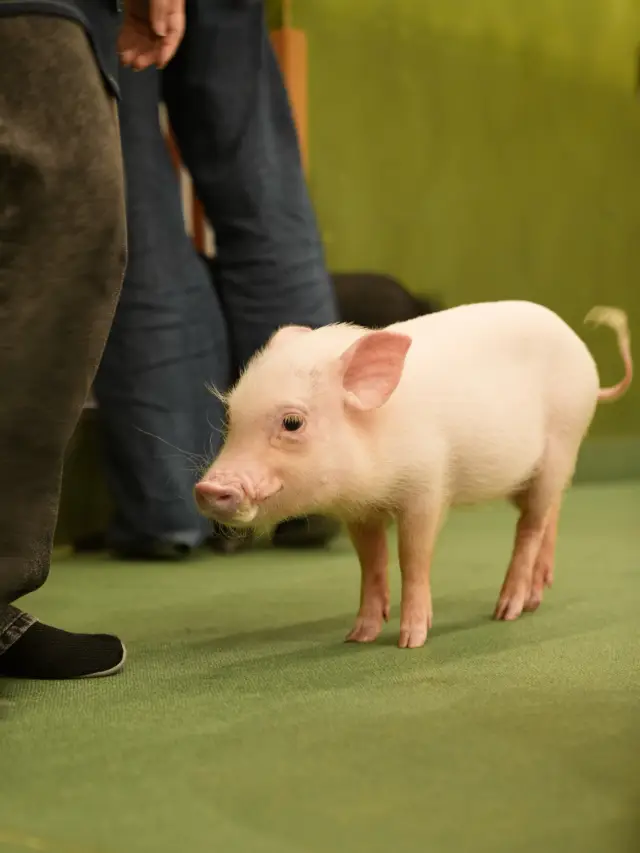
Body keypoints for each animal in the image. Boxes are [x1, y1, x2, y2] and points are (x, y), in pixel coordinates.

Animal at [194, 302, 632, 648]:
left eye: (292, 422)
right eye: (231, 416)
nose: (209, 487)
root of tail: (581, 350)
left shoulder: (428, 485)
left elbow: (413, 556)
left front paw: (411, 641)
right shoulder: (359, 511)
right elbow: (371, 562)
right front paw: (357, 636)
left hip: (564, 441)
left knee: (530, 526)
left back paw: (506, 611)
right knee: (549, 515)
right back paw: (536, 596)